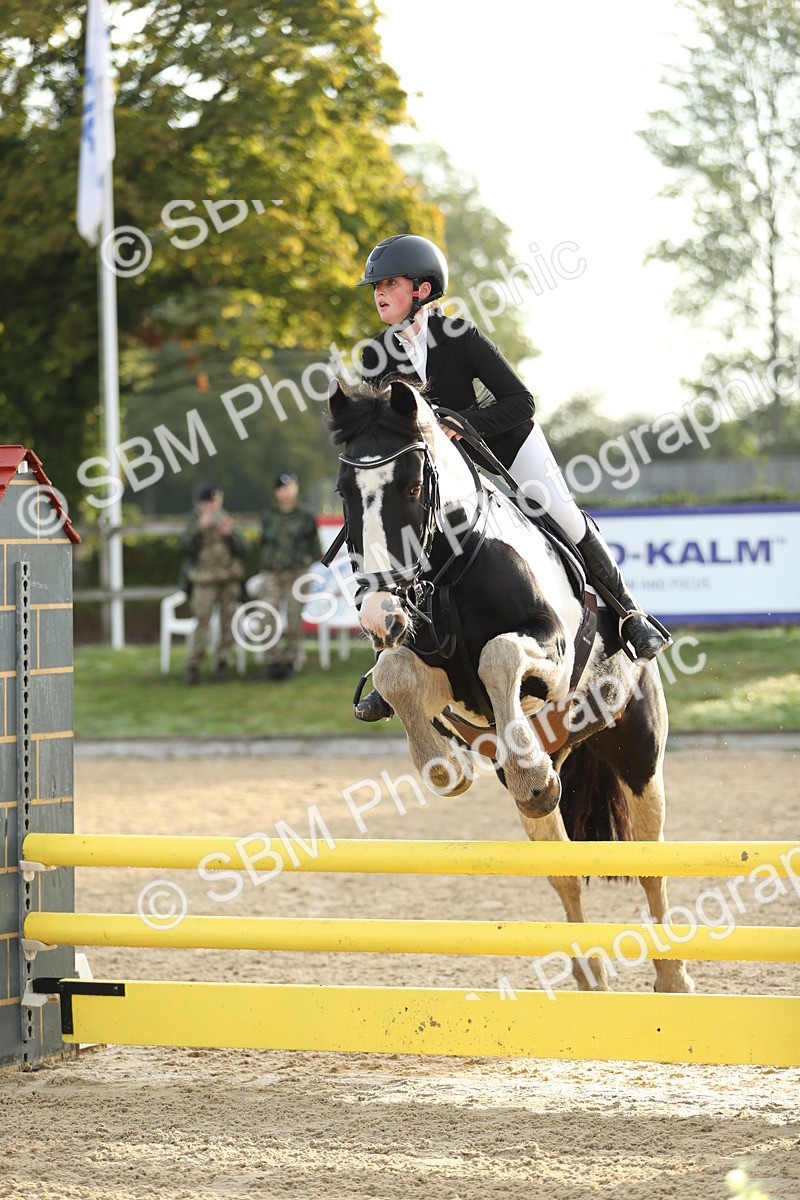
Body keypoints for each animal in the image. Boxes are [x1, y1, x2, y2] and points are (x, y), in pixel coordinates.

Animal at [328, 376, 693, 994]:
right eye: (343, 492)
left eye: (411, 486)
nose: (379, 615)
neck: (451, 570)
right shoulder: (439, 676)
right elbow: (395, 673)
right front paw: (444, 769)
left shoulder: (551, 652)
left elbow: (498, 655)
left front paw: (521, 770)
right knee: (563, 870)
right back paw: (590, 976)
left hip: (639, 753)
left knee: (651, 861)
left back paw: (672, 979)